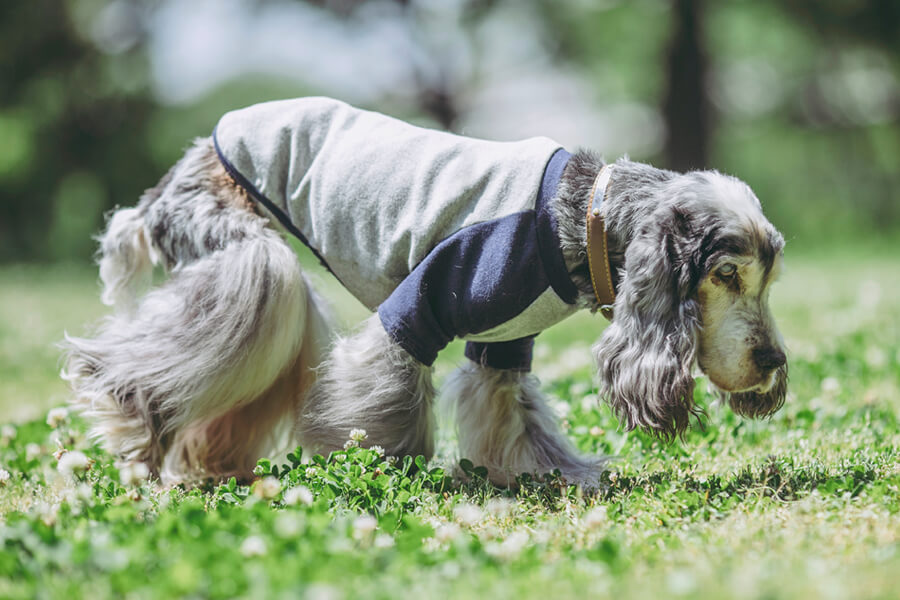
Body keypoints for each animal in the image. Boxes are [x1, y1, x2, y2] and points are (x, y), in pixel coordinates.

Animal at [61, 95, 788, 488]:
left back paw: (216, 463)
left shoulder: (505, 341)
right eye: (726, 275)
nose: (775, 361)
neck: (581, 216)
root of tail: (180, 167)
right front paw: (379, 463)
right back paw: (132, 412)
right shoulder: (423, 303)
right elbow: (385, 392)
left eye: (770, 277)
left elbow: (514, 415)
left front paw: (555, 474)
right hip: (245, 250)